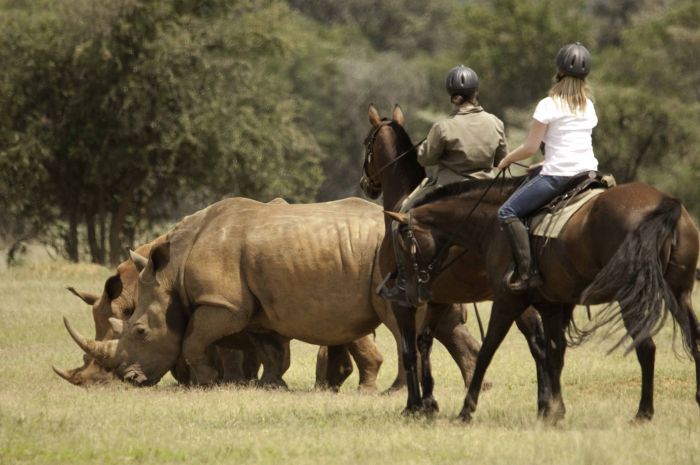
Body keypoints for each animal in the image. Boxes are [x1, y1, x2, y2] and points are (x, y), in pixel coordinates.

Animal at [360, 104, 552, 414]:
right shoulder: (439, 299)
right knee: (539, 341)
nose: (366, 184)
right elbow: (425, 342)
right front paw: (429, 400)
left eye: (368, 143)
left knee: (535, 340)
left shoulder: (403, 302)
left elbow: (409, 349)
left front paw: (413, 405)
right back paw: (545, 402)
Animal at [386, 172, 700, 422]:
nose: (404, 290)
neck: (492, 224)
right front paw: (554, 410)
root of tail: (666, 203)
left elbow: (488, 350)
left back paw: (643, 413)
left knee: (646, 348)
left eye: (401, 245)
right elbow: (554, 353)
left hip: (630, 298)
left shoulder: (507, 301)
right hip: (679, 293)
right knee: (694, 341)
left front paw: (466, 410)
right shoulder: (550, 306)